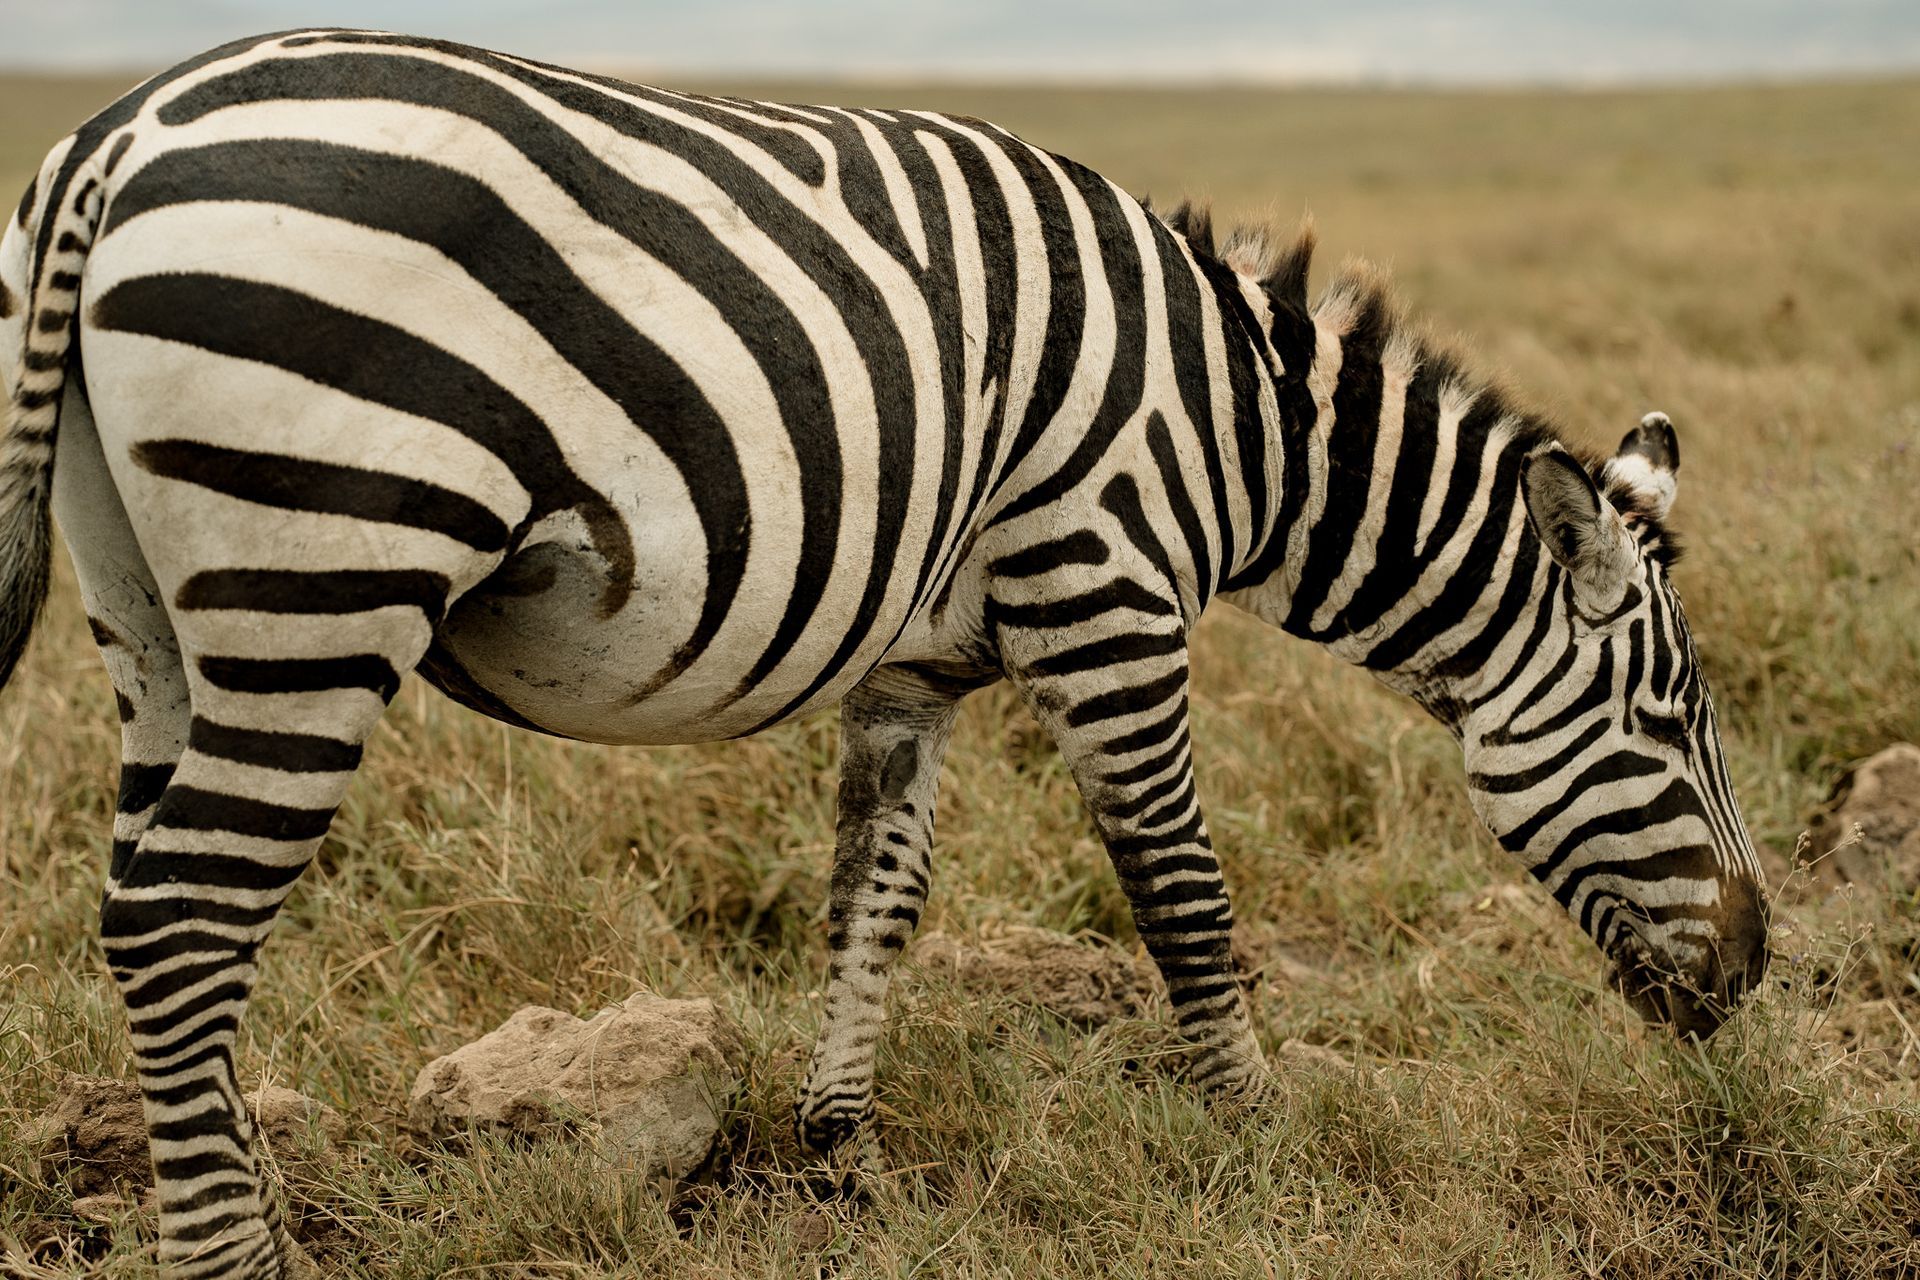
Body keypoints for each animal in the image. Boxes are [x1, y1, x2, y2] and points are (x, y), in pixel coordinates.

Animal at [0, 29, 1769, 1278]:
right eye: (1667, 722)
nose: (1758, 973)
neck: (1243, 432)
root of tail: (114, 135)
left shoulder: (916, 668)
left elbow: (878, 894)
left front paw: (836, 1149)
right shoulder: (1107, 587)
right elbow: (1181, 889)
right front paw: (1266, 1135)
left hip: (149, 608)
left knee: (149, 906)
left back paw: (222, 1184)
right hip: (329, 562)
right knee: (183, 920)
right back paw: (233, 1259)